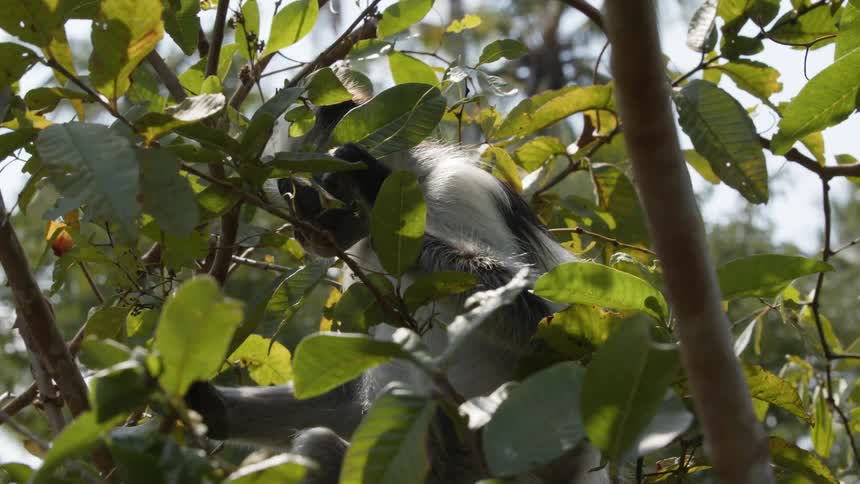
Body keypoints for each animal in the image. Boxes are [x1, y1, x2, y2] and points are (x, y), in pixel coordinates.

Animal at [185, 74, 609, 484]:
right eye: (287, 194)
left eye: (307, 197)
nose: (300, 232)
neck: (419, 181)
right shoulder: (359, 264)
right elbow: (345, 401)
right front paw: (207, 406)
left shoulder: (457, 189)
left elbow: (559, 327)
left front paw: (374, 184)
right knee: (319, 446)